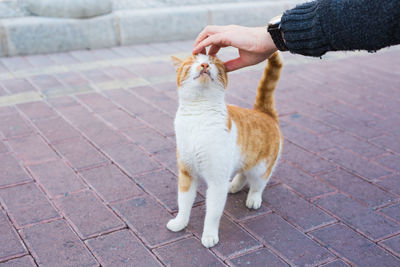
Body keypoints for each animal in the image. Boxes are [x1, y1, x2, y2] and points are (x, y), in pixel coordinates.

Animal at [167, 51, 282, 249]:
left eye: (213, 62)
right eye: (193, 61)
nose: (205, 65)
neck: (198, 115)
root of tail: (264, 112)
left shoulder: (217, 181)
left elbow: (212, 213)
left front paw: (209, 235)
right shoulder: (187, 172)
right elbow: (184, 201)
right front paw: (180, 222)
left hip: (261, 168)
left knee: (258, 183)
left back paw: (253, 198)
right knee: (243, 173)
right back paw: (234, 186)